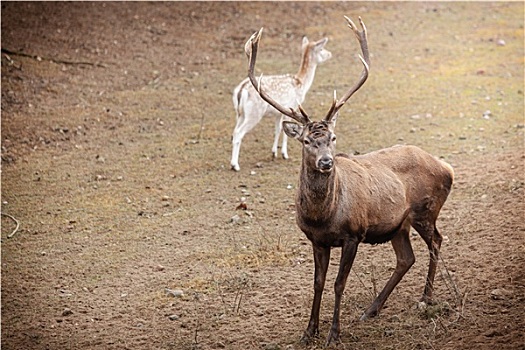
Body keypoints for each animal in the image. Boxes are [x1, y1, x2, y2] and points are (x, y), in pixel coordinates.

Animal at [230, 32, 332, 172]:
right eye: (321, 49)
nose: (330, 54)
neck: (301, 83)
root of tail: (241, 90)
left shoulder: (278, 113)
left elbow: (278, 129)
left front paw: (274, 152)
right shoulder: (292, 106)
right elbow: (285, 132)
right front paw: (284, 154)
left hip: (239, 114)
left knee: (234, 131)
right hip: (254, 114)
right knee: (239, 133)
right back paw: (235, 165)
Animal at [244, 17, 452, 346]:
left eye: (332, 137)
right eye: (306, 141)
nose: (327, 162)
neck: (323, 217)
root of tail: (446, 166)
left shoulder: (353, 234)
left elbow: (338, 284)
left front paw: (333, 334)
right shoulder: (315, 240)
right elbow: (317, 283)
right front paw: (308, 332)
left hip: (425, 211)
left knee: (437, 242)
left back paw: (425, 298)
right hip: (399, 224)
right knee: (406, 258)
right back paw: (371, 310)